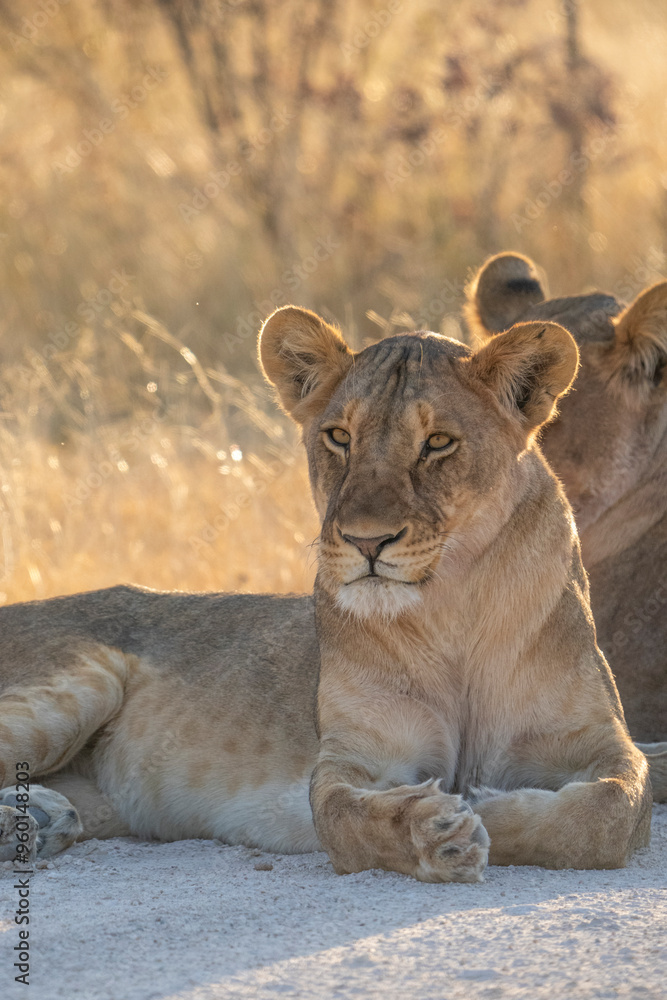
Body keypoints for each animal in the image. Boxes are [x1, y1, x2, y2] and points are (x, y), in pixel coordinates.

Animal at [0, 307, 651, 881]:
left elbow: (609, 811)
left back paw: (37, 821)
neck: (452, 608)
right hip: (79, 685)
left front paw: (486, 803)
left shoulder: (605, 741)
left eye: (438, 442)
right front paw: (436, 831)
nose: (366, 541)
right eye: (339, 436)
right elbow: (344, 817)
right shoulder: (353, 759)